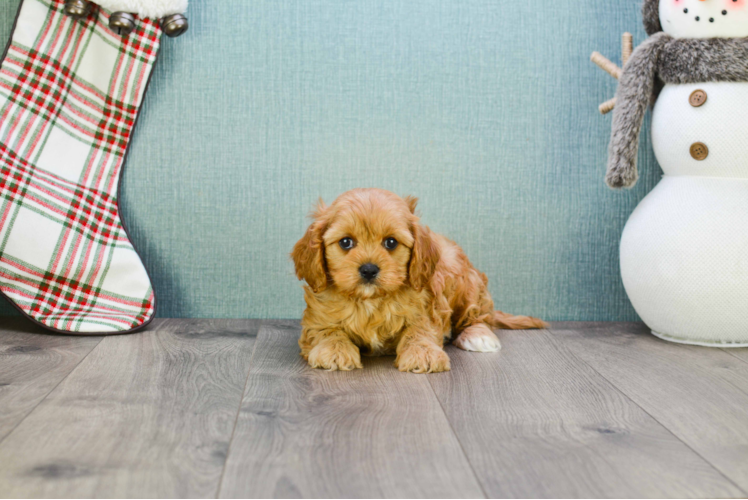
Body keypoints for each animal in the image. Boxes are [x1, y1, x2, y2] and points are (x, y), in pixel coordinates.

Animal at [290, 189, 544, 374]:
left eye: (391, 242)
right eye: (345, 242)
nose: (369, 269)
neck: (371, 301)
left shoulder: (427, 310)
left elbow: (419, 331)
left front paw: (423, 354)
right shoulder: (317, 319)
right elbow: (327, 331)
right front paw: (334, 351)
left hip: (468, 285)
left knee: (479, 316)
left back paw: (478, 336)